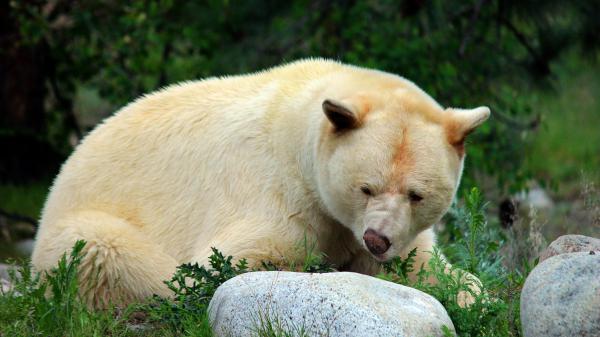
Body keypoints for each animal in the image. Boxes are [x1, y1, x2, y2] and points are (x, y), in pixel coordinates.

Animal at [31, 58, 488, 308]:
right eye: (366, 187)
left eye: (416, 194)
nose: (377, 240)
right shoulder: (270, 190)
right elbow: (234, 261)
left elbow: (428, 265)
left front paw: (473, 294)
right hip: (82, 228)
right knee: (101, 249)